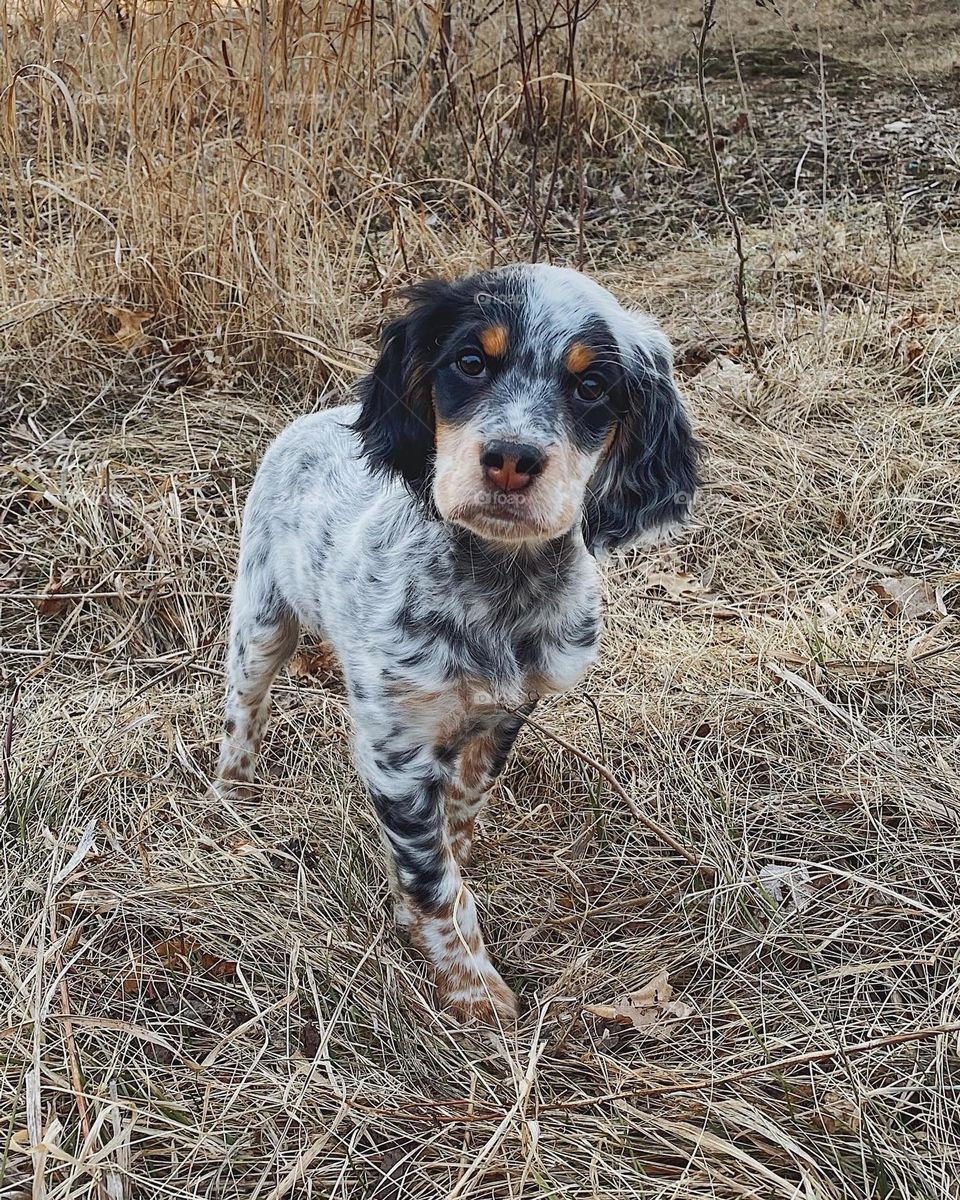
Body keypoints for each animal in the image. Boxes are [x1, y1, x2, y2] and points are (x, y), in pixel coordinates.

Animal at [217, 267, 696, 1027]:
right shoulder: (395, 751)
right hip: (262, 617)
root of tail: (313, 418)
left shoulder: (506, 714)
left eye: (592, 386)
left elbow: (464, 809)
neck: (498, 585)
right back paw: (231, 795)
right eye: (470, 362)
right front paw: (473, 988)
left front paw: (457, 855)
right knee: (244, 707)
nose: (511, 460)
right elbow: (432, 881)